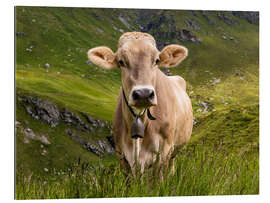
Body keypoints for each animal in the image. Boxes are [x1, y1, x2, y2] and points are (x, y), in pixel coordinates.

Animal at [87, 31, 193, 176]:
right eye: (121, 62)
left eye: (157, 60)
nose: (143, 94)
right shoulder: (121, 154)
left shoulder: (163, 151)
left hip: (175, 150)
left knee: (172, 164)